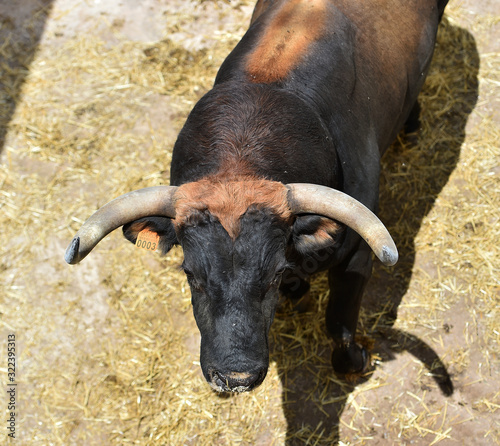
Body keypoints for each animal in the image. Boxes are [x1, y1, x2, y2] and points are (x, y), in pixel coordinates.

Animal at [65, 0, 450, 390]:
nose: (235, 376)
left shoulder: (356, 258)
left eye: (275, 274)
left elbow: (339, 326)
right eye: (191, 274)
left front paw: (356, 360)